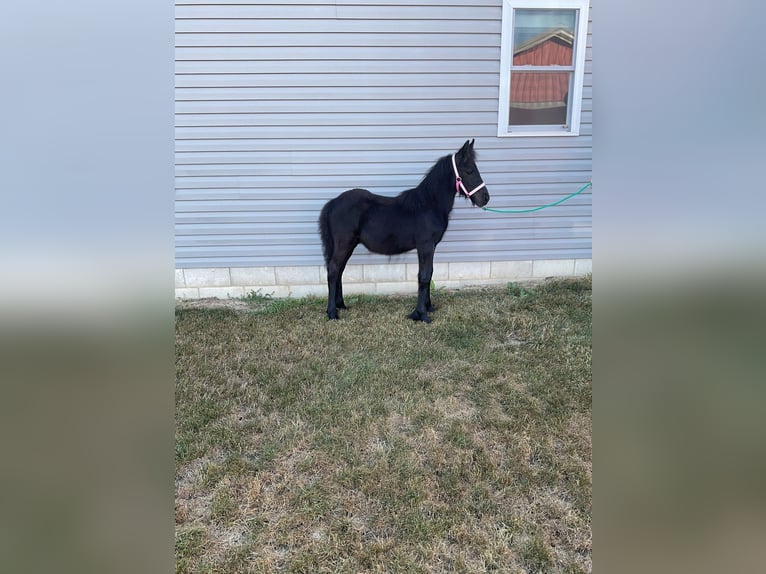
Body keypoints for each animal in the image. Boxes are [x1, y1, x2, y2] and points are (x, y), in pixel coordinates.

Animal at [318, 139, 490, 323]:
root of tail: (333, 203)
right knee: (333, 270)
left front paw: (428, 308)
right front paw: (421, 314)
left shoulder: (431, 247)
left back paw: (341, 305)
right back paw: (332, 313)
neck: (428, 205)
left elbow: (429, 274)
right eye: (469, 170)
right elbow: (424, 276)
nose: (485, 198)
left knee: (339, 270)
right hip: (344, 244)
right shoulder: (425, 246)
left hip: (349, 245)